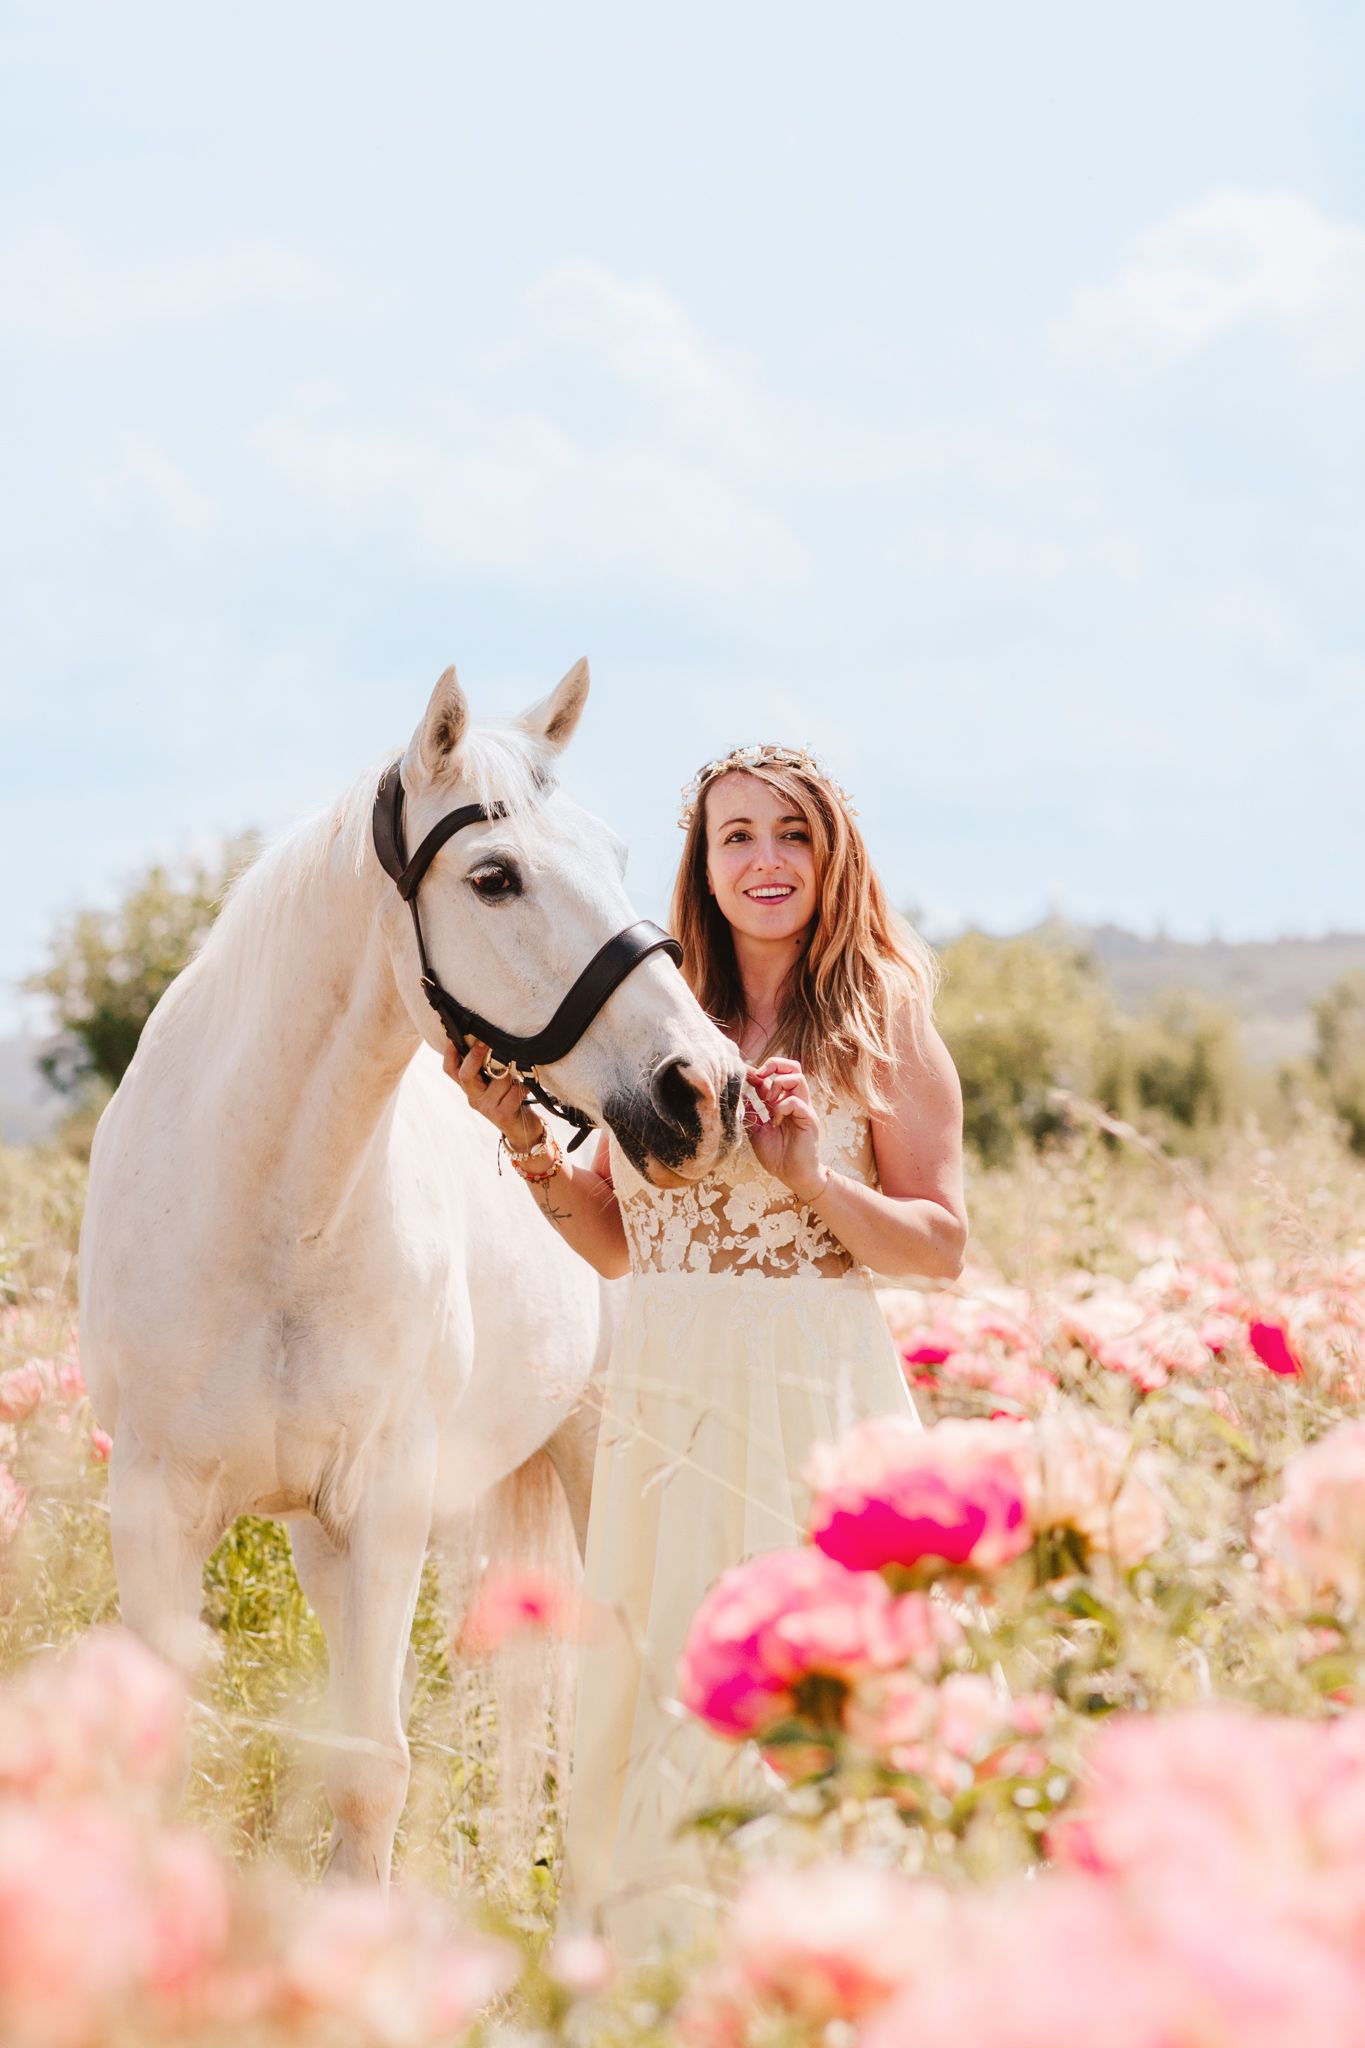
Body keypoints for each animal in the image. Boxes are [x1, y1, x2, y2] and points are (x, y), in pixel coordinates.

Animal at [78, 658, 745, 1887]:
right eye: (494, 878)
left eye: (616, 853)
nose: (702, 1090)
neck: (274, 1220)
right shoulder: (156, 1509)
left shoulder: (383, 1507)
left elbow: (371, 1768)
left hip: (588, 1455)